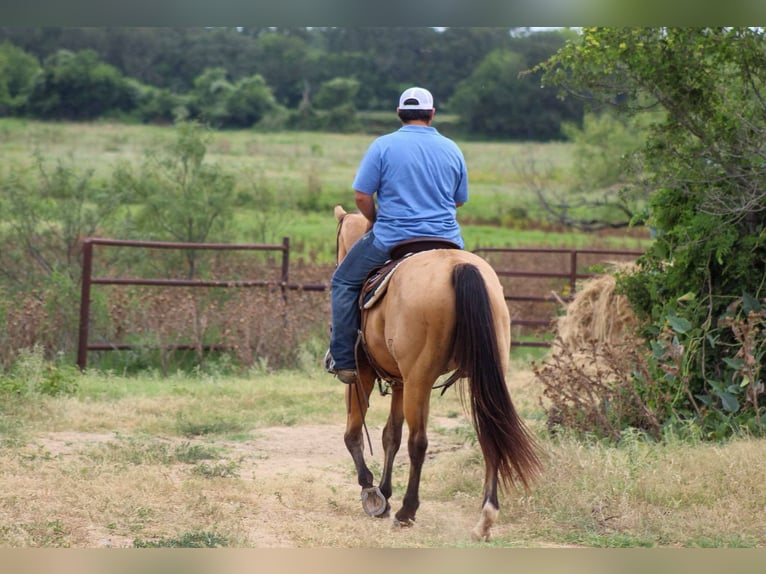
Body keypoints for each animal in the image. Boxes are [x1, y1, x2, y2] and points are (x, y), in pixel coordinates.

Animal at [333, 205, 542, 541]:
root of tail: (459, 268)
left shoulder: (362, 373)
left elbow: (354, 433)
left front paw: (372, 491)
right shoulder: (400, 381)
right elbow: (390, 434)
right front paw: (384, 490)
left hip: (419, 377)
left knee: (418, 442)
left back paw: (407, 512)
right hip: (479, 377)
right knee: (490, 434)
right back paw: (485, 517)